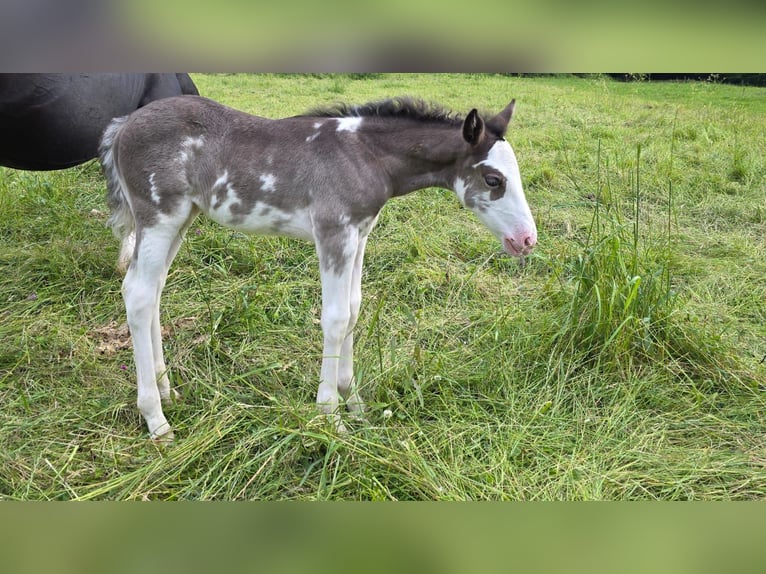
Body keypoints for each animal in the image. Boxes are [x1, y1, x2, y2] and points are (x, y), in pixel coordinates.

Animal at [99, 95, 537, 440]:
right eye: (494, 179)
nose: (527, 240)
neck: (366, 155)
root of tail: (122, 126)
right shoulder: (333, 232)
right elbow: (336, 317)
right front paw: (330, 415)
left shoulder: (359, 233)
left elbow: (355, 309)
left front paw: (354, 403)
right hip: (160, 216)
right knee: (138, 294)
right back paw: (156, 419)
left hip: (181, 220)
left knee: (154, 292)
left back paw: (167, 391)